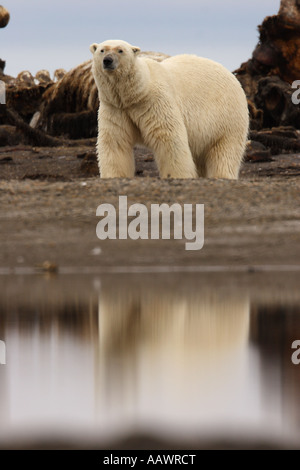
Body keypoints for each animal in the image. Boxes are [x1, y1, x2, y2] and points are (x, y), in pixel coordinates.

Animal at [89, 39, 248, 179]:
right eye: (102, 50)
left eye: (120, 50)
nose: (107, 60)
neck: (135, 94)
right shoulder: (116, 108)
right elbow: (115, 140)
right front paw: (113, 175)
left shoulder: (154, 101)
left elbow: (169, 138)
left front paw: (177, 175)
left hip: (227, 117)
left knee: (225, 152)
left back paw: (221, 175)